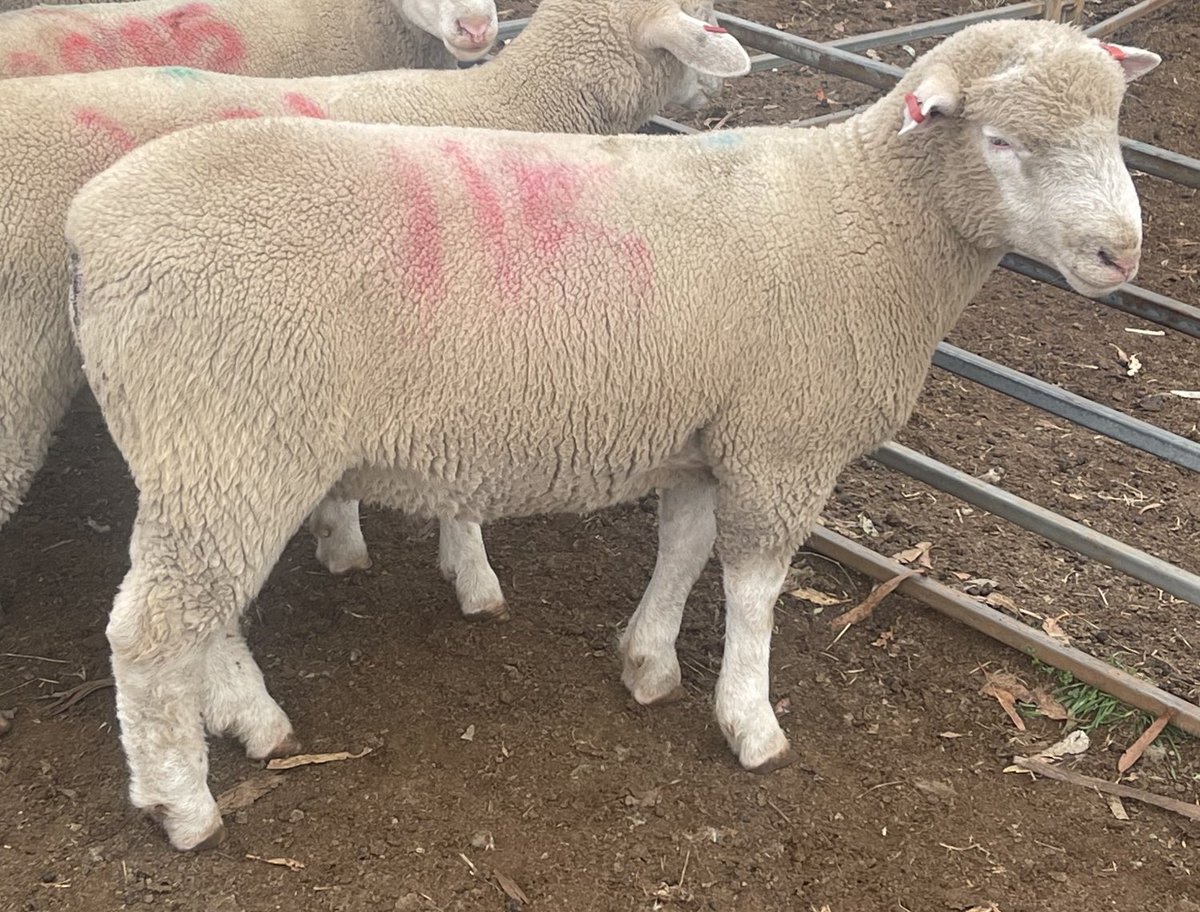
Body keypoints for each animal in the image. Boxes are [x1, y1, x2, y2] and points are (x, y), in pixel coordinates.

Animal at [66, 17, 1159, 850]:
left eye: (1114, 127)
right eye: (1002, 141)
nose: (1122, 253)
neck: (866, 217)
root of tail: (90, 228)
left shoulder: (707, 429)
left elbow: (682, 547)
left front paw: (648, 662)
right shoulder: (785, 442)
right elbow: (754, 588)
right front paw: (749, 721)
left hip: (204, 452)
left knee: (191, 608)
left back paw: (245, 718)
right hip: (235, 439)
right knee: (151, 629)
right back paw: (182, 802)